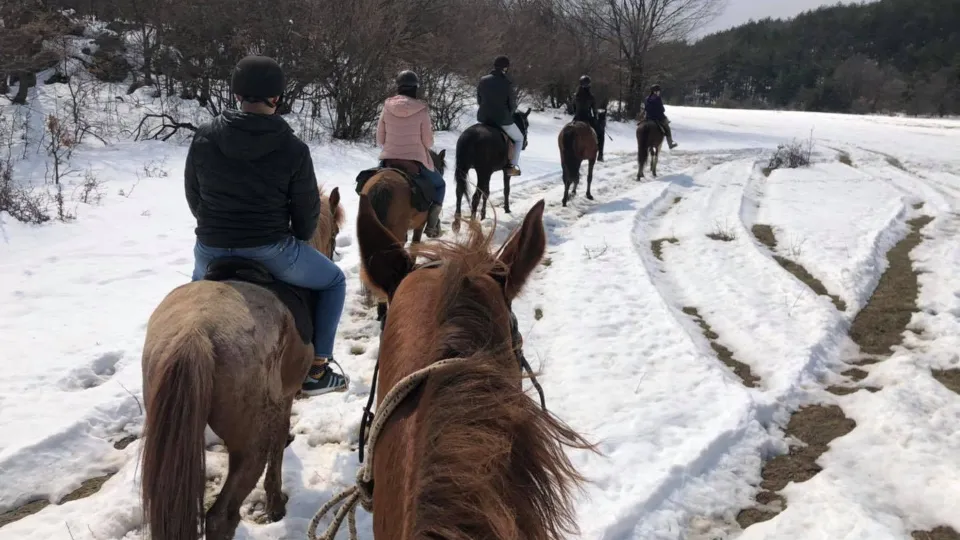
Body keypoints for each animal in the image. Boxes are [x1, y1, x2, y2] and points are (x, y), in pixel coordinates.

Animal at [139, 186, 344, 540]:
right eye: (334, 234)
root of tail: (195, 333)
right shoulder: (284, 398)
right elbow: (279, 443)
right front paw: (275, 505)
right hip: (249, 445)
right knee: (222, 517)